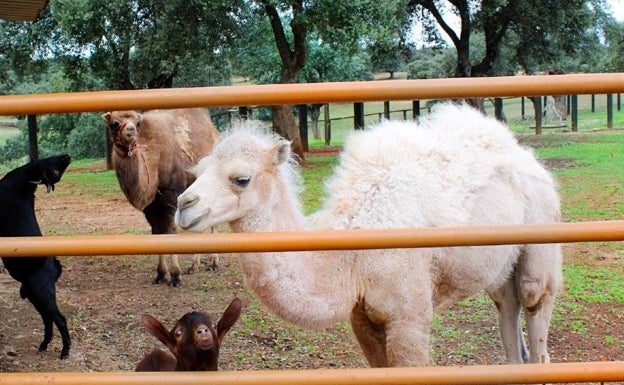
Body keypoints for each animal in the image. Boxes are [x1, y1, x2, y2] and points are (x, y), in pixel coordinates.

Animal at [0, 154, 72, 358]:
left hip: (43, 293)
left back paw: (65, 351)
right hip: (34, 295)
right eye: (56, 171)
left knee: (60, 319)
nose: (67, 156)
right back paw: (44, 344)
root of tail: (55, 267)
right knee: (47, 319)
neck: (21, 183)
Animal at [102, 108, 219, 284]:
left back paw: (214, 263)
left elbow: (171, 230)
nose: (130, 130)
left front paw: (176, 275)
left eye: (137, 123)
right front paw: (161, 274)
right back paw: (194, 266)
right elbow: (157, 232)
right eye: (114, 123)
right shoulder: (152, 205)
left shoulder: (171, 193)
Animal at [173, 103, 564, 366]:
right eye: (198, 170)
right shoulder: (362, 318)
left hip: (541, 228)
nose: (183, 205)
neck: (350, 256)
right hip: (500, 261)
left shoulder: (410, 316)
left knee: (534, 301)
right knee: (506, 305)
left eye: (241, 178)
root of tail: (528, 157)